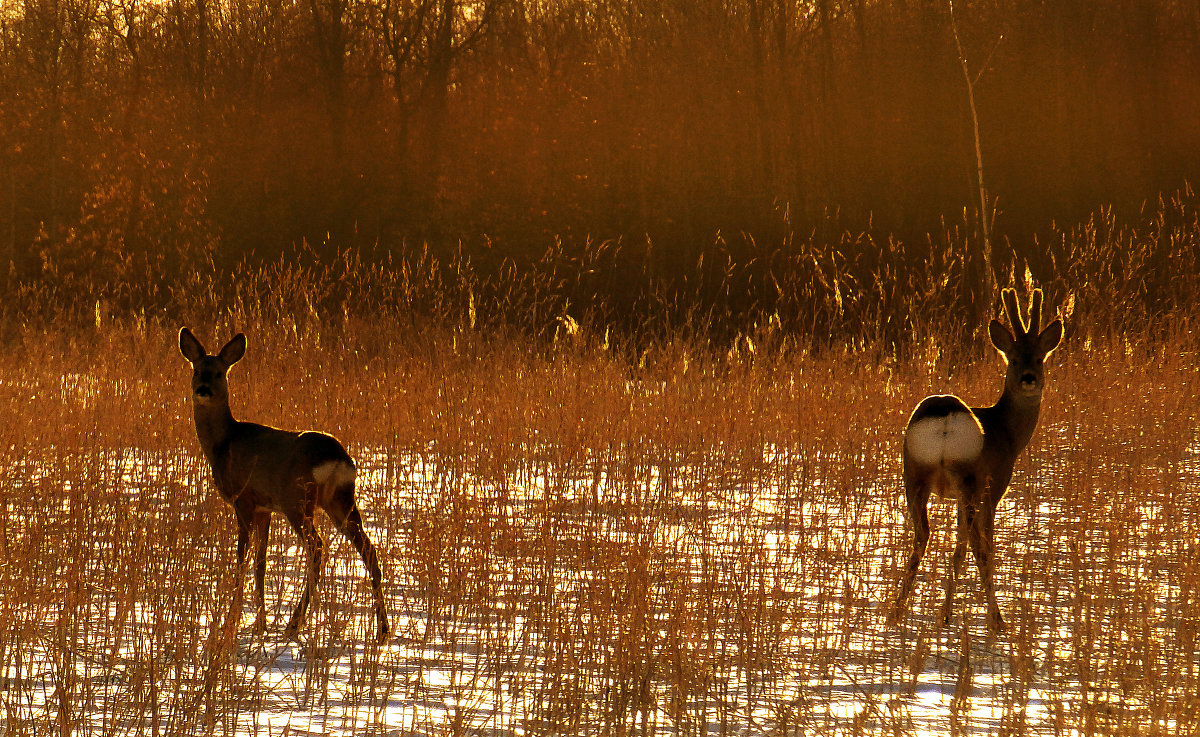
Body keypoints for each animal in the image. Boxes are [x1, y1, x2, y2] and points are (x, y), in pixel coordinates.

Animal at [888, 289, 1065, 633]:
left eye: (1039, 357)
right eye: (1014, 358)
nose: (1029, 379)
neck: (1006, 431)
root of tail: (945, 420)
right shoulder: (994, 484)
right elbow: (983, 547)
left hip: (913, 473)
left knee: (922, 537)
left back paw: (896, 612)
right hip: (969, 479)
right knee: (972, 547)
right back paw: (991, 619)